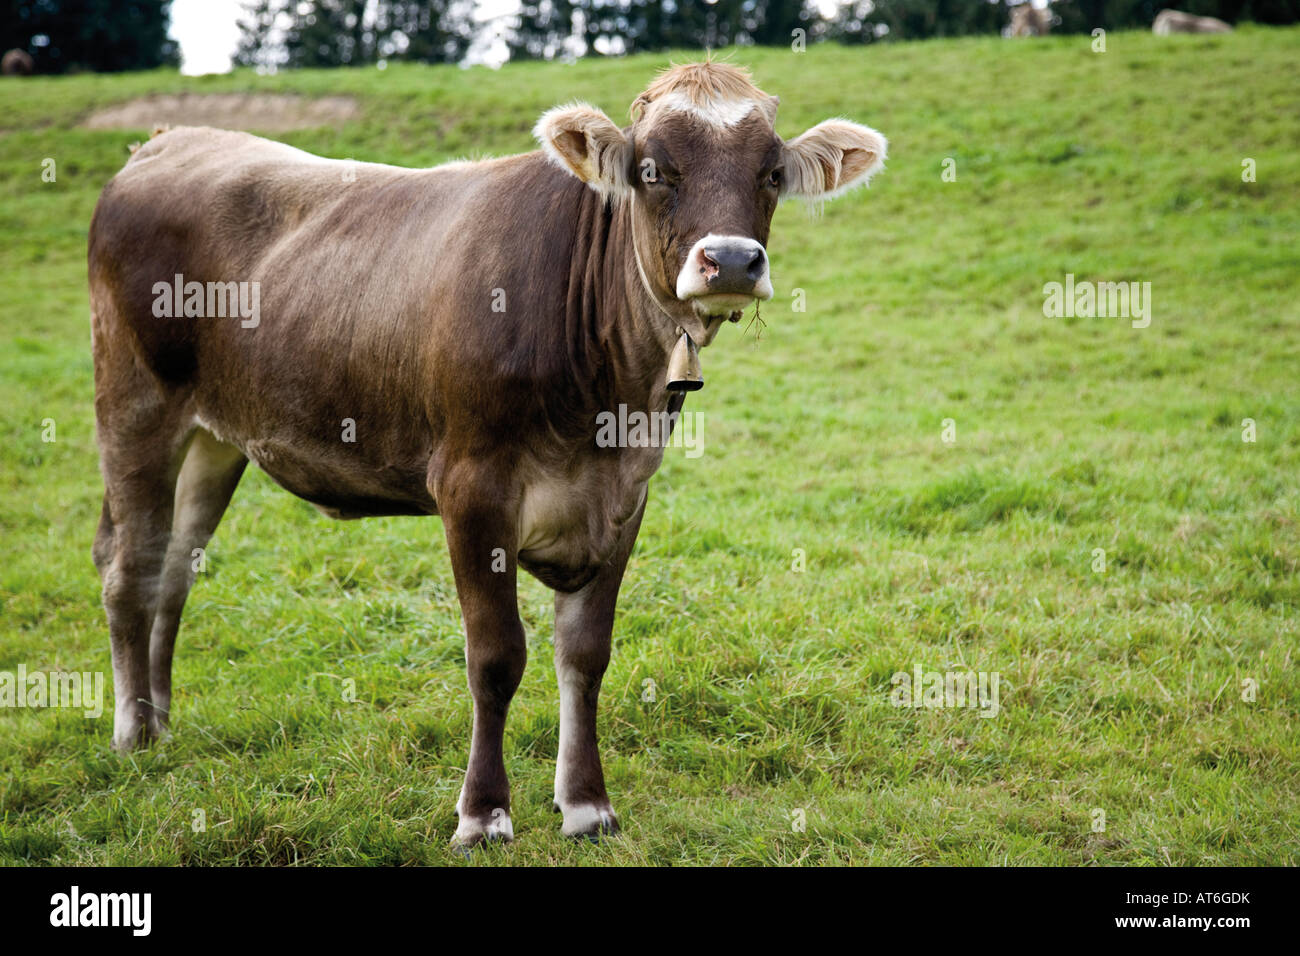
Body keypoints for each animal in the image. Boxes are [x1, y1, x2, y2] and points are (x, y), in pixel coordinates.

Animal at [86, 63, 889, 842]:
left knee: (174, 570)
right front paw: (482, 814)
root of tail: (169, 139)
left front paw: (586, 805)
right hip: (134, 407)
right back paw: (131, 736)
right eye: (653, 170)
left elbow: (586, 654)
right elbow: (497, 656)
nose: (730, 260)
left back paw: (161, 722)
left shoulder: (625, 497)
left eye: (772, 173)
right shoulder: (472, 490)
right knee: (130, 569)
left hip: (215, 438)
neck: (604, 406)